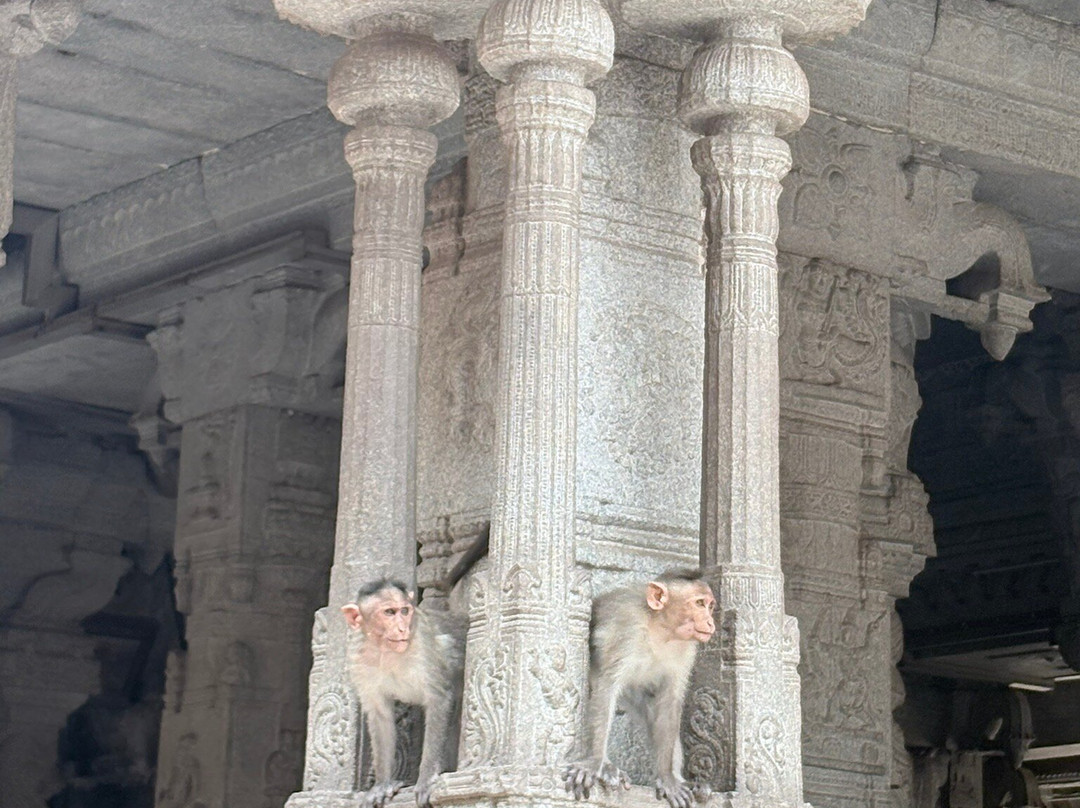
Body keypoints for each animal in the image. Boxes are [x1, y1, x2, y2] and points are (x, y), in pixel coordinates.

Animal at [341, 578, 467, 808]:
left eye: (404, 611)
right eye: (389, 612)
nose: (402, 628)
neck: (386, 650)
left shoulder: (423, 645)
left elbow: (439, 699)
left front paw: (426, 778)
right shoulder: (359, 660)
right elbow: (380, 715)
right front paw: (381, 785)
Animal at [564, 570, 717, 808]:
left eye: (710, 606)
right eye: (699, 603)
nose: (710, 622)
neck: (660, 629)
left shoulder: (686, 649)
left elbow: (669, 701)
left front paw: (668, 779)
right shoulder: (628, 628)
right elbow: (607, 685)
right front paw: (594, 762)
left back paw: (691, 784)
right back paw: (607, 768)